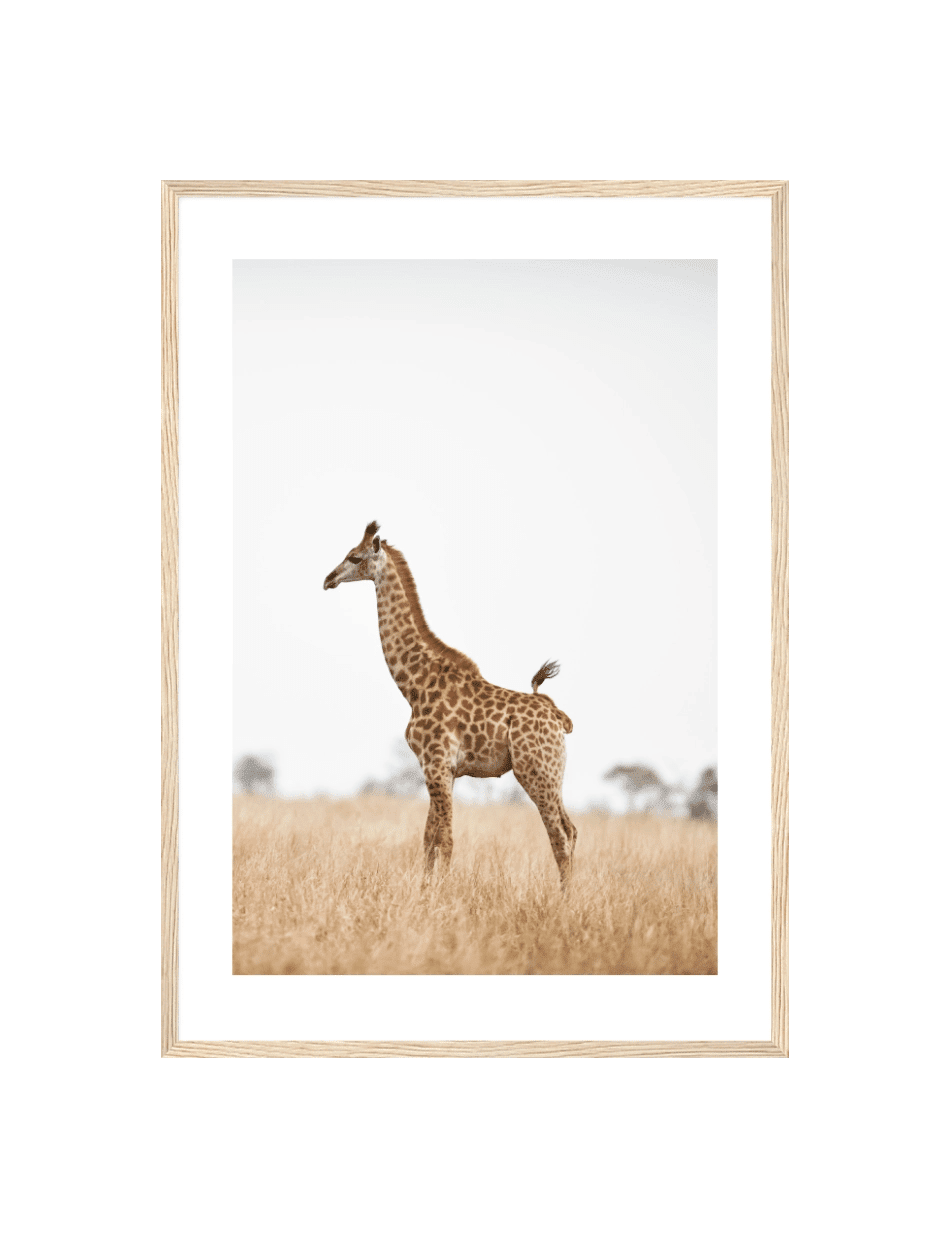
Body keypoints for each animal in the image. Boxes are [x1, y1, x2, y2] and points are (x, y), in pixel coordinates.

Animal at [323, 522, 577, 889]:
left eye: (354, 557)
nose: (327, 579)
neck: (414, 684)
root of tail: (559, 718)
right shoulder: (441, 768)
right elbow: (429, 837)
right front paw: (425, 889)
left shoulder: (436, 762)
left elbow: (444, 838)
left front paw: (438, 892)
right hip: (552, 774)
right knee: (571, 830)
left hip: (535, 771)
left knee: (559, 835)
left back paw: (564, 899)